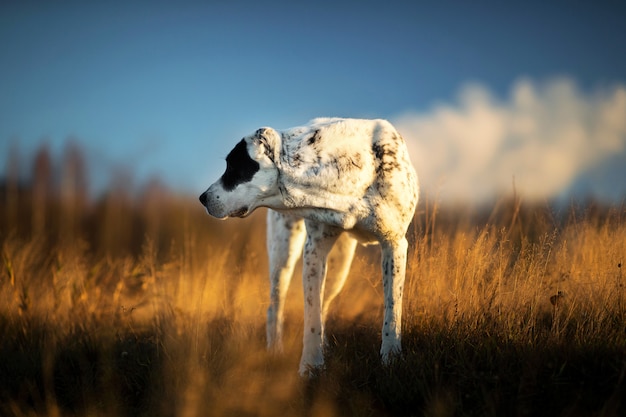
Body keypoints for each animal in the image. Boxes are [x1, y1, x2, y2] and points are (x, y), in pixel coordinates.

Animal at [197, 117, 416, 374]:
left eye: (235, 168)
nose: (202, 198)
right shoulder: (314, 250)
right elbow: (311, 317)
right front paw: (311, 366)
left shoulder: (395, 244)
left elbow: (392, 308)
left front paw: (391, 357)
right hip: (284, 253)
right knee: (276, 307)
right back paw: (275, 351)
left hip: (339, 265)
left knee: (326, 304)